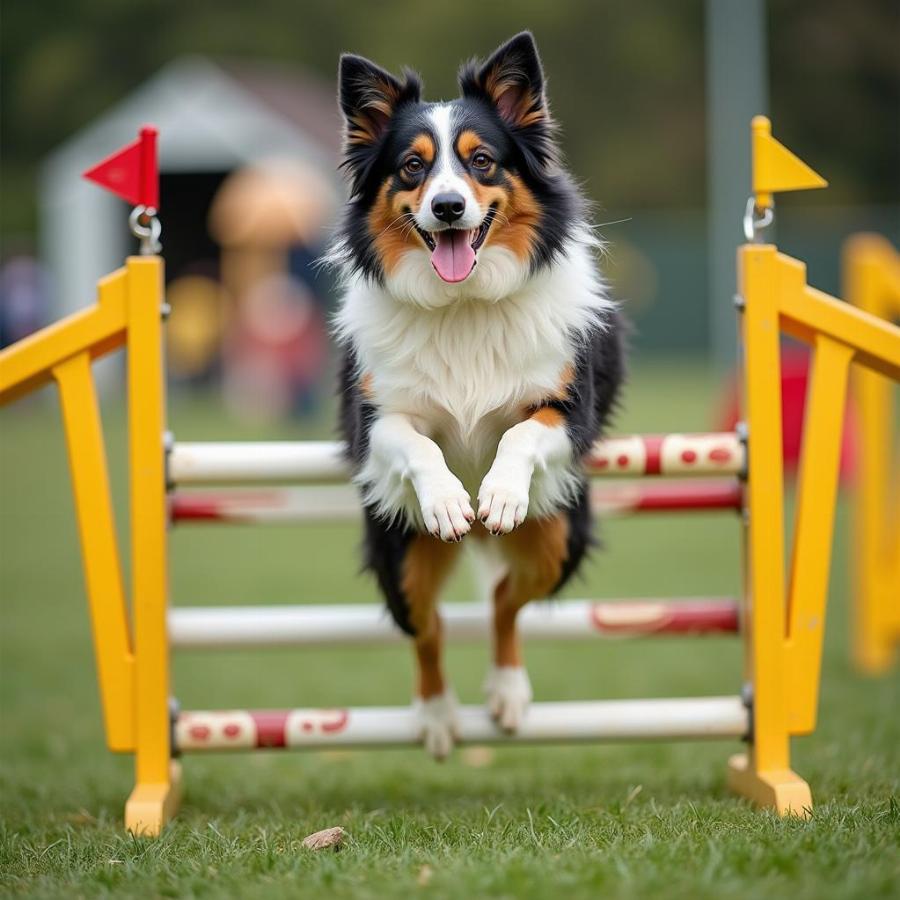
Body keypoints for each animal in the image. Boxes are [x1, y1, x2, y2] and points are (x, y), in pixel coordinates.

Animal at [330, 31, 624, 756]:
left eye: (482, 161)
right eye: (412, 168)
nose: (448, 207)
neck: (462, 302)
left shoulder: (568, 411)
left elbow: (520, 433)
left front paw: (497, 492)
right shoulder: (376, 418)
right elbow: (416, 446)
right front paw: (447, 500)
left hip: (560, 536)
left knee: (505, 600)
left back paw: (508, 693)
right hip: (398, 547)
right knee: (428, 625)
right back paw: (437, 717)